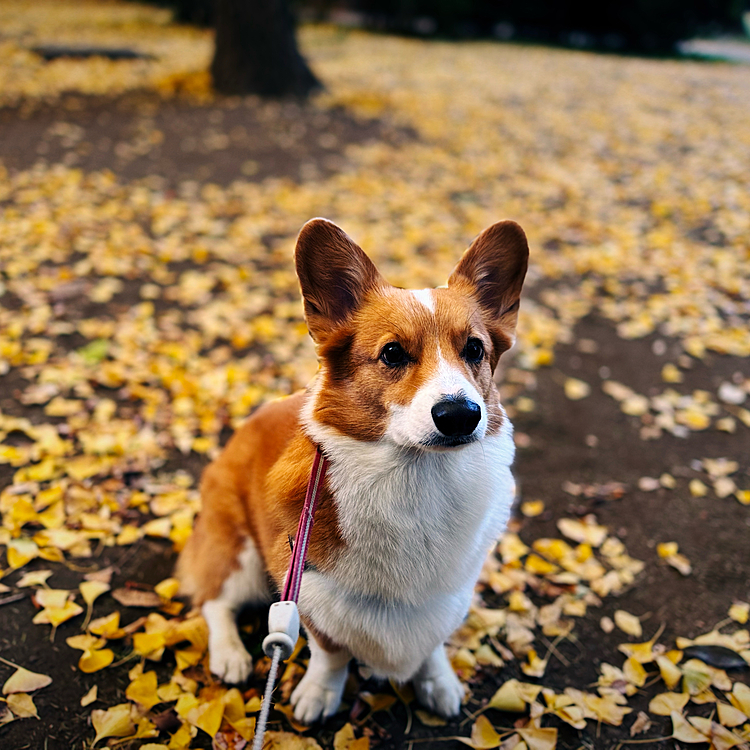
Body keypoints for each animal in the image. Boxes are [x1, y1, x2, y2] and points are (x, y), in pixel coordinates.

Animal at [176, 220, 528, 724]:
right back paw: (230, 654)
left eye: (475, 349)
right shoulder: (306, 587)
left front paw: (437, 681)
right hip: (238, 550)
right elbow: (331, 651)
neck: (416, 479)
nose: (461, 415)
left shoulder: (450, 592)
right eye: (393, 353)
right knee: (215, 600)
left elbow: (433, 643)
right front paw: (320, 693)